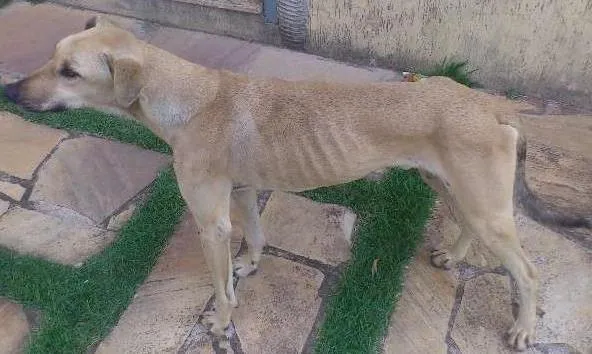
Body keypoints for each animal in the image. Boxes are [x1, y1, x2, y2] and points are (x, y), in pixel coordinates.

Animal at [6, 17, 588, 352]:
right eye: (51, 57)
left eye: (70, 72)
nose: (10, 91)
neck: (185, 98)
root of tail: (491, 104)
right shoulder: (241, 193)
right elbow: (255, 237)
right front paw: (249, 266)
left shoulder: (210, 222)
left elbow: (220, 286)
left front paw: (222, 324)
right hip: (451, 187)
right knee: (468, 228)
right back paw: (453, 256)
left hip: (486, 206)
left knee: (527, 271)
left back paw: (524, 329)